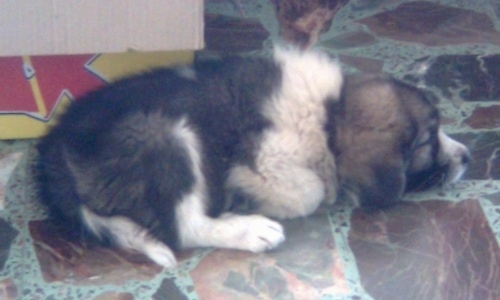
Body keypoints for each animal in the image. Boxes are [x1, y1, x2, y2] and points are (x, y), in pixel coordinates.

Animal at [35, 48, 468, 268]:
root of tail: (53, 151)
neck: (330, 114)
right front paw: (263, 199)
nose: (467, 156)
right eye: (428, 139)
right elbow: (310, 191)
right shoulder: (263, 156)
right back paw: (250, 228)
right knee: (183, 227)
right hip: (164, 134)